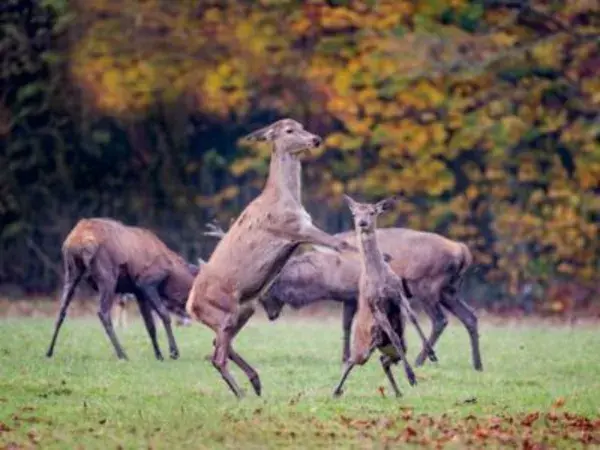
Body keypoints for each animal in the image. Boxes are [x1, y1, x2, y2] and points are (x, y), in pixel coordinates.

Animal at [47, 216, 197, 360]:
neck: (172, 275)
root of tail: (77, 241)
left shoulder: (138, 292)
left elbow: (150, 325)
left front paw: (159, 355)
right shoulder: (146, 283)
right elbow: (164, 315)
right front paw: (173, 352)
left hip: (71, 272)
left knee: (61, 311)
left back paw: (49, 352)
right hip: (107, 277)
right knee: (103, 312)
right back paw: (122, 354)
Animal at [185, 118, 358, 398]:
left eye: (302, 126)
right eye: (288, 131)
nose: (315, 139)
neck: (286, 199)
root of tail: (190, 306)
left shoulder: (299, 236)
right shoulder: (293, 227)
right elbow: (340, 243)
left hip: (244, 308)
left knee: (218, 345)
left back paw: (255, 381)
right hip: (223, 311)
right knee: (217, 357)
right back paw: (241, 393)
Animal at [332, 195, 418, 400]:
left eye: (372, 212)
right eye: (354, 213)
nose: (362, 223)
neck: (379, 277)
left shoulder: (399, 293)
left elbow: (413, 318)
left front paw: (432, 355)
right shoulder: (375, 304)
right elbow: (394, 335)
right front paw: (411, 376)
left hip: (390, 348)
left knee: (384, 359)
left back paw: (398, 392)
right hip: (363, 347)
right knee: (351, 360)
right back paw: (336, 390)